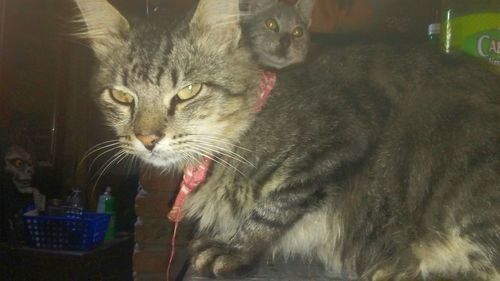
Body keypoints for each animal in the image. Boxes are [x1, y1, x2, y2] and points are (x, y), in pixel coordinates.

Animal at [73, 0, 500, 278]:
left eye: (188, 91)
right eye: (121, 96)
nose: (147, 138)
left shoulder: (345, 130)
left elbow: (277, 204)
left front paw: (232, 247)